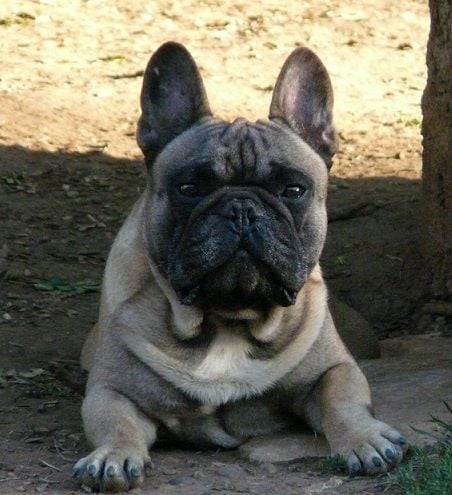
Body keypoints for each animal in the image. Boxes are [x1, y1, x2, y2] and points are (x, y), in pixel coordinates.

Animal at [73, 42, 407, 492]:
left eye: (294, 190)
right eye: (188, 188)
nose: (242, 208)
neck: (227, 320)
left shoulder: (336, 370)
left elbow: (342, 400)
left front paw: (365, 440)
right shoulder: (111, 390)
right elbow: (115, 422)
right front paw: (113, 456)